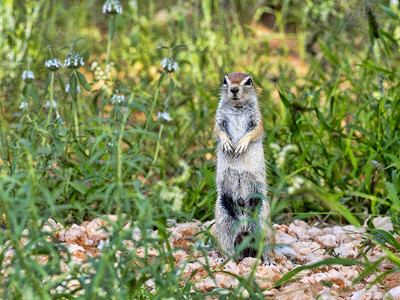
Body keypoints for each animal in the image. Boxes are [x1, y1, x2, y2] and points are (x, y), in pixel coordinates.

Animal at [216, 72, 276, 262]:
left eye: (248, 81)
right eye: (225, 80)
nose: (234, 89)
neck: (237, 107)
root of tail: (243, 227)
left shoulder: (257, 118)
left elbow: (255, 131)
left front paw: (241, 144)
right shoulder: (219, 118)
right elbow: (218, 130)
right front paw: (227, 144)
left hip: (263, 221)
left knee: (267, 247)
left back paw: (269, 262)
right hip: (223, 222)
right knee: (228, 247)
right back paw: (223, 260)